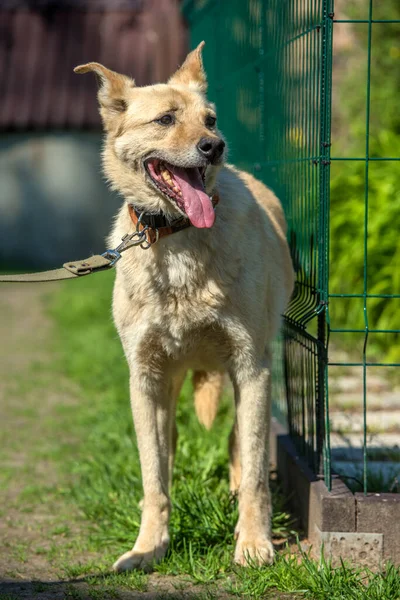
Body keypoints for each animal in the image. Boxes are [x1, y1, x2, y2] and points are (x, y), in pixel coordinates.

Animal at [75, 43, 294, 572]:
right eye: (166, 119)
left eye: (210, 119)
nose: (216, 146)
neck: (175, 238)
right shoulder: (145, 377)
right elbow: (153, 476)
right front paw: (148, 547)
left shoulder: (251, 366)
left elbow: (254, 469)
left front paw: (253, 543)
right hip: (170, 385)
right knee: (169, 449)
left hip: (247, 375)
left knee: (241, 444)